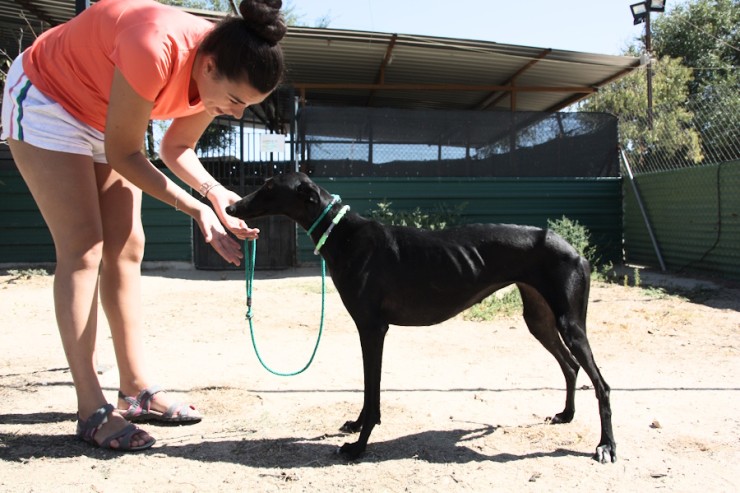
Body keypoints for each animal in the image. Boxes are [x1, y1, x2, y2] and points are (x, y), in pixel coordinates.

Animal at [227, 172, 620, 462]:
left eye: (269, 187)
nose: (231, 206)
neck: (344, 233)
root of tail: (575, 250)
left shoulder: (372, 329)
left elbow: (373, 393)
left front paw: (359, 446)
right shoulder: (370, 330)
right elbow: (368, 393)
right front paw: (356, 425)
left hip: (570, 323)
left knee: (601, 384)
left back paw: (606, 446)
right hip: (540, 319)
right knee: (570, 366)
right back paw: (566, 415)